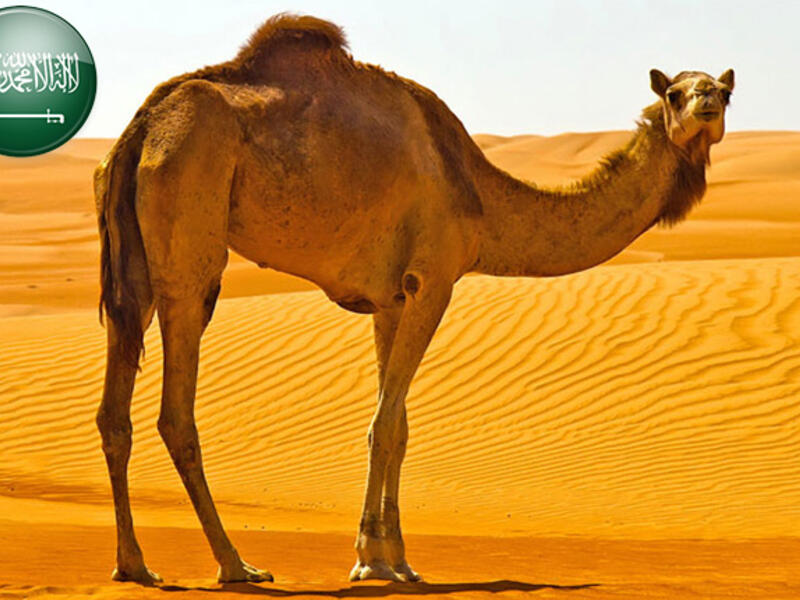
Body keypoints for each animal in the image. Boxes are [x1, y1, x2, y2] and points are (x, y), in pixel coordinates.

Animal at [94, 13, 734, 585]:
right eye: (674, 92)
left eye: (725, 90)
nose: (706, 102)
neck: (479, 198)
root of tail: (141, 128)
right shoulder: (434, 279)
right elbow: (385, 424)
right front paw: (372, 561)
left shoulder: (389, 301)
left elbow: (397, 424)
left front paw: (393, 556)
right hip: (190, 215)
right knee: (177, 409)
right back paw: (235, 565)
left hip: (133, 262)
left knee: (115, 407)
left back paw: (134, 565)